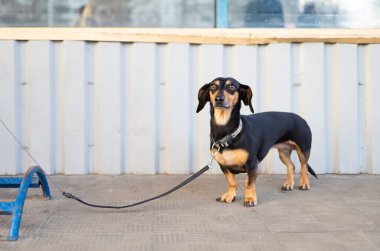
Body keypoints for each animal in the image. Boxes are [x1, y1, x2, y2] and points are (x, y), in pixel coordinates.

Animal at [196, 77, 318, 207]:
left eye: (232, 86)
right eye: (213, 86)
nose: (219, 99)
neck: (228, 132)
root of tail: (302, 119)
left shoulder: (252, 164)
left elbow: (249, 183)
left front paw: (250, 198)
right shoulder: (224, 166)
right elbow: (232, 182)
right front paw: (230, 195)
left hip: (303, 150)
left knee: (304, 166)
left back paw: (304, 183)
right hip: (283, 152)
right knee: (291, 166)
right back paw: (289, 184)